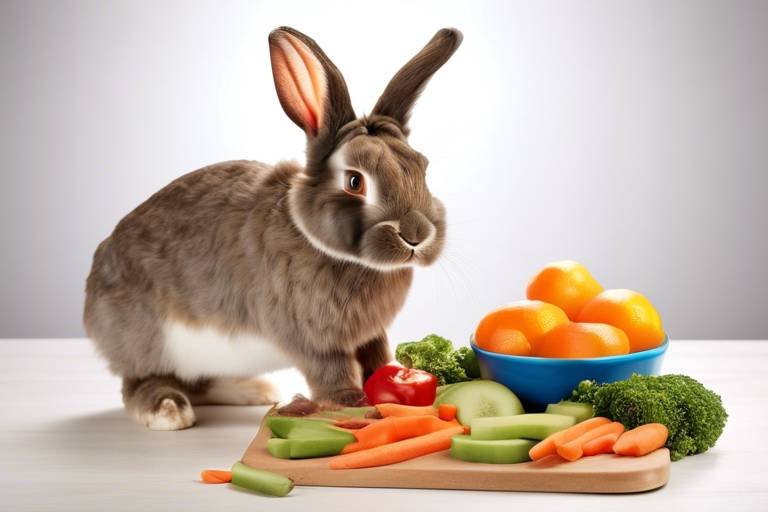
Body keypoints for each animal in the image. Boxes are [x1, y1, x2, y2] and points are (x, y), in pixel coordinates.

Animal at [83, 26, 462, 430]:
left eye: (422, 169)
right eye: (355, 182)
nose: (417, 236)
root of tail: (90, 301)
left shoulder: (370, 334)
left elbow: (377, 357)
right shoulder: (311, 337)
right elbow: (331, 369)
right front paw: (351, 401)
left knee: (198, 382)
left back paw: (254, 391)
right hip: (150, 339)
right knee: (141, 382)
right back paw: (168, 410)